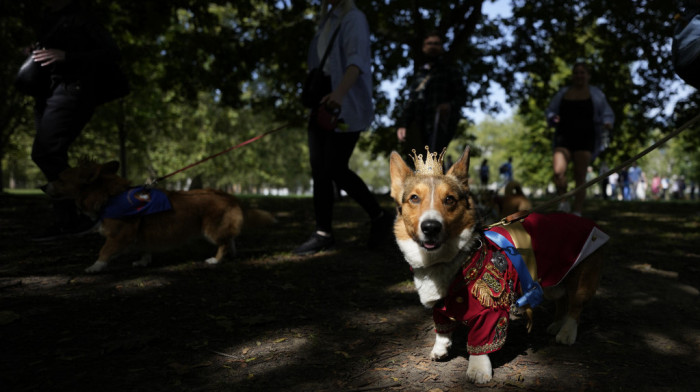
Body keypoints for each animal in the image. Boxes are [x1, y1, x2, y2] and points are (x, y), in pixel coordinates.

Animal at [42, 159, 274, 272]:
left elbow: (104, 251)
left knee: (224, 243)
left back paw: (215, 260)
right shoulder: (141, 236)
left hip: (211, 229)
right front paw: (142, 262)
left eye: (60, 179)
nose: (42, 186)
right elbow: (145, 249)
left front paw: (94, 267)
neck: (109, 196)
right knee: (231, 239)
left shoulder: (119, 235)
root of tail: (231, 196)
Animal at [388, 147, 608, 382]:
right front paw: (440, 349)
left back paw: (566, 333)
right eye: (414, 198)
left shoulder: (490, 312)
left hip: (582, 279)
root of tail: (590, 223)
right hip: (552, 282)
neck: (445, 260)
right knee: (562, 300)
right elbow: (442, 329)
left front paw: (478, 370)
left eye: (449, 199)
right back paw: (557, 324)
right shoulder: (441, 307)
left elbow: (480, 342)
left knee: (575, 306)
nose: (431, 227)